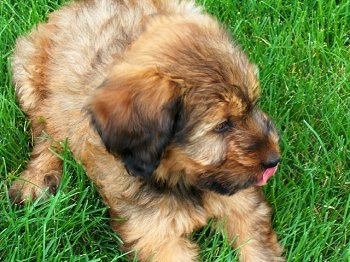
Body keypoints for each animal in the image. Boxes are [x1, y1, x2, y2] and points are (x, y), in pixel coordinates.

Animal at [10, 0, 284, 260]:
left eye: (254, 104)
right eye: (223, 125)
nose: (274, 160)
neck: (179, 178)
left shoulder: (242, 204)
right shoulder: (155, 235)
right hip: (30, 75)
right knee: (47, 132)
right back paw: (35, 181)